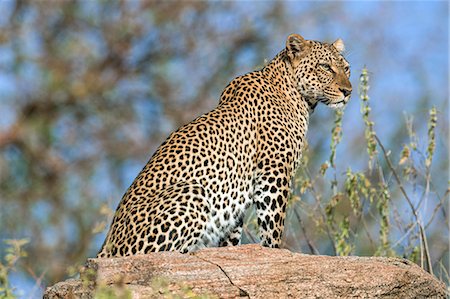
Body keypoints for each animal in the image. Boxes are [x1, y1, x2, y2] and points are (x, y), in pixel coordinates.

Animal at [97, 33, 352, 258]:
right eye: (325, 67)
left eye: (347, 69)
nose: (348, 91)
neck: (299, 98)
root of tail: (104, 249)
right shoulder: (273, 174)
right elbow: (273, 225)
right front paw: (276, 253)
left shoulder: (238, 197)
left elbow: (232, 236)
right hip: (193, 192)